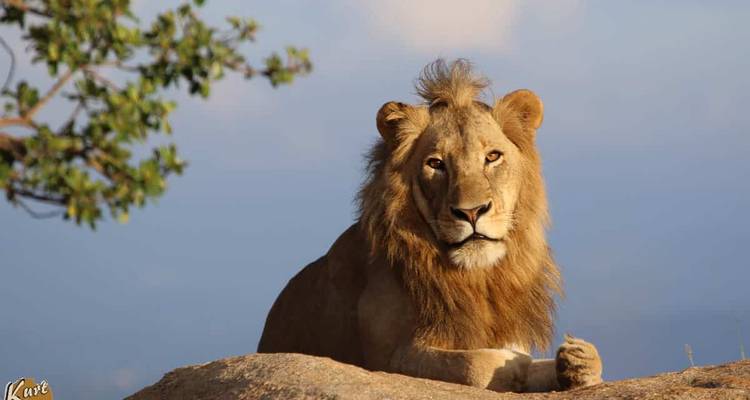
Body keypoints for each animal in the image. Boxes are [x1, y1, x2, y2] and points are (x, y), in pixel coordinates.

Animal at [258, 59, 602, 392]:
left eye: (492, 157)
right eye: (436, 164)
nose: (472, 212)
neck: (475, 279)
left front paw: (578, 362)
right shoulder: (388, 358)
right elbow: (476, 363)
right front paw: (516, 364)